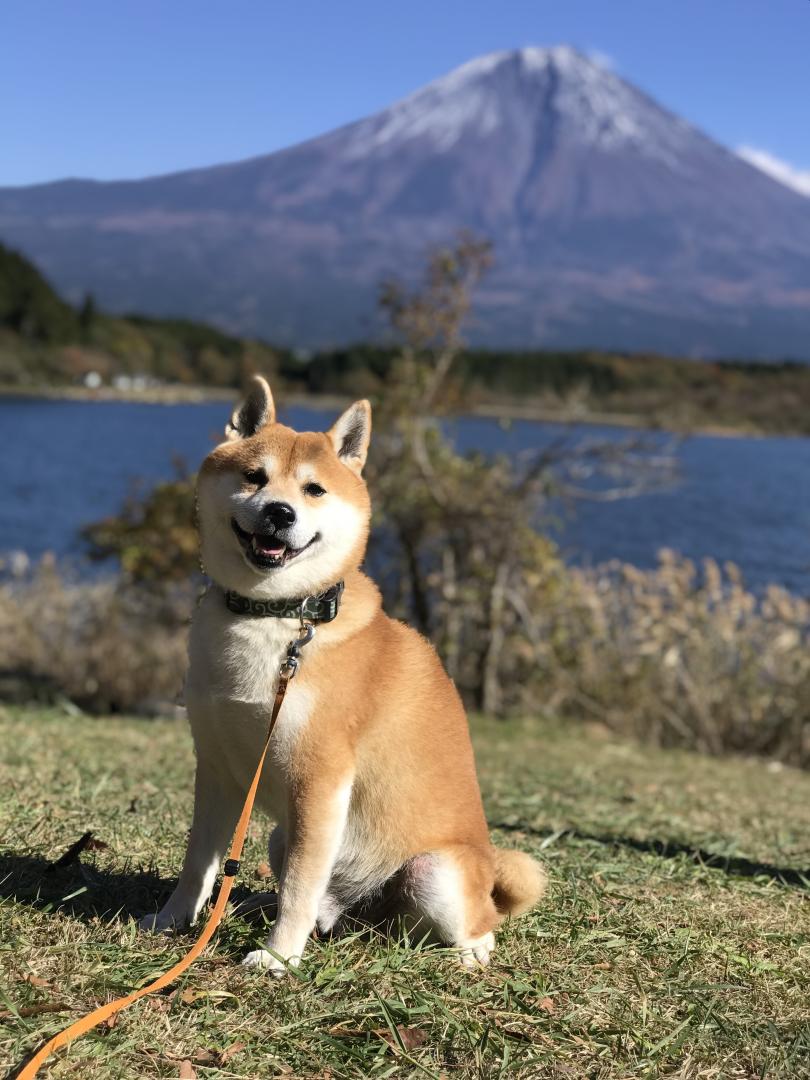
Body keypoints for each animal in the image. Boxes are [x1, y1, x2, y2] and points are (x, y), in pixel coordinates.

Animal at [139, 378, 546, 972]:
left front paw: (279, 957)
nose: (280, 512)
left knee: (475, 925)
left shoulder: (320, 778)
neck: (278, 617)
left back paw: (466, 955)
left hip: (434, 875)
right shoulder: (216, 767)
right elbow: (199, 862)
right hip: (281, 837)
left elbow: (301, 885)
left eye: (314, 490)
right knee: (317, 901)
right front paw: (172, 920)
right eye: (254, 476)